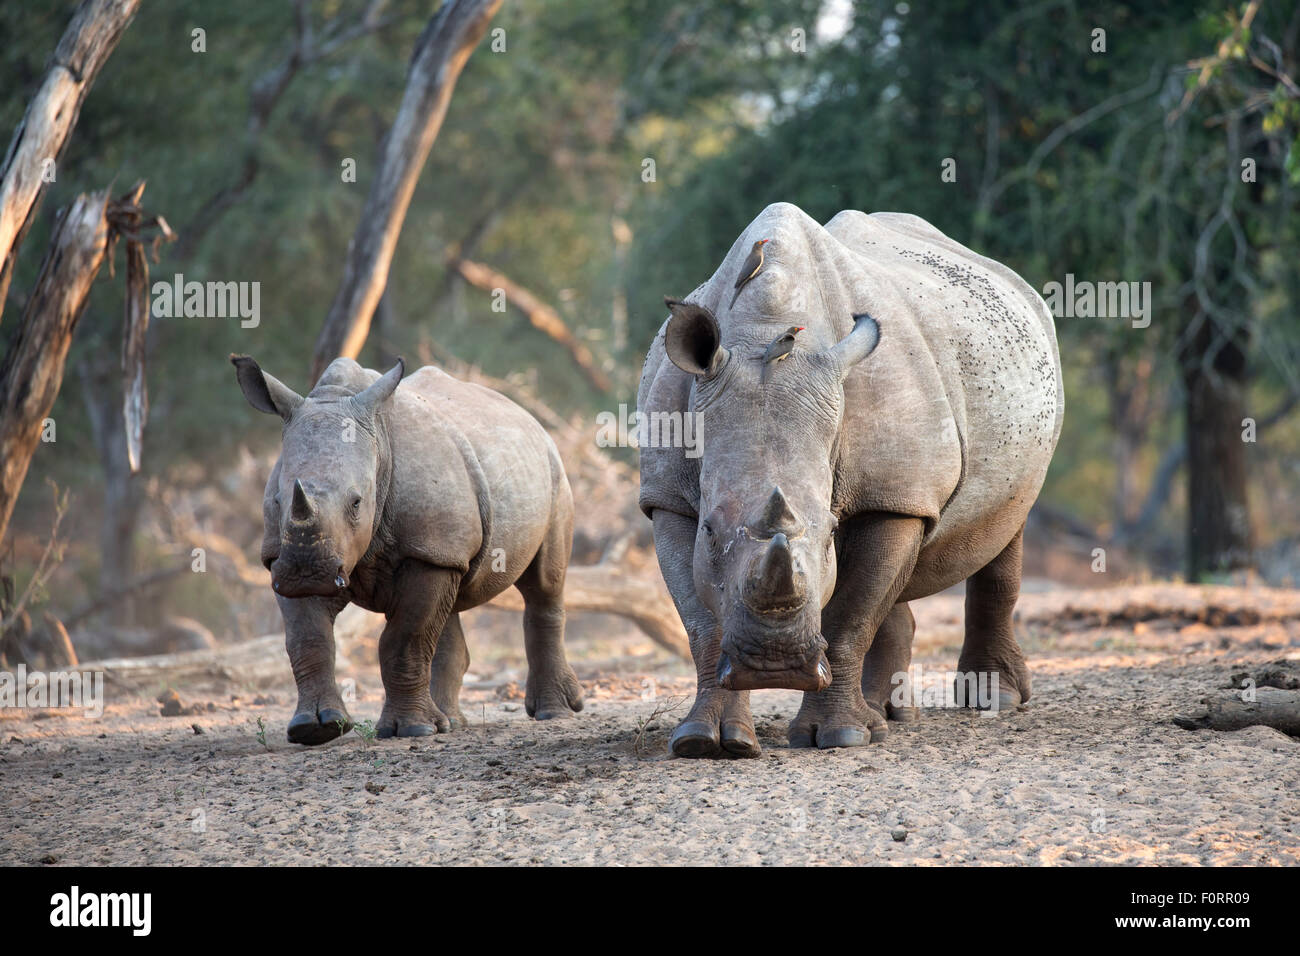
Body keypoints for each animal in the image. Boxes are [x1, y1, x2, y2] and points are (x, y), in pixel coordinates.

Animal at [231, 356, 582, 743]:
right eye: (278, 501)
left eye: (356, 503)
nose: (306, 572)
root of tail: (528, 416)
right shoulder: (283, 556)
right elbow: (308, 640)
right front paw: (316, 728)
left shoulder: (426, 552)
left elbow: (403, 640)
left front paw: (410, 729)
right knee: (449, 607)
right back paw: (449, 722)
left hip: (552, 471)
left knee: (544, 585)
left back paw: (554, 712)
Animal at [634, 201, 1060, 754]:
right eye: (709, 530)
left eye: (828, 534)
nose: (773, 664)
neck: (764, 330)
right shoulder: (667, 496)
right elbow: (701, 621)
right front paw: (705, 742)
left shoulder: (894, 492)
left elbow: (851, 614)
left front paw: (840, 736)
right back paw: (887, 715)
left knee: (1006, 526)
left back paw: (993, 701)